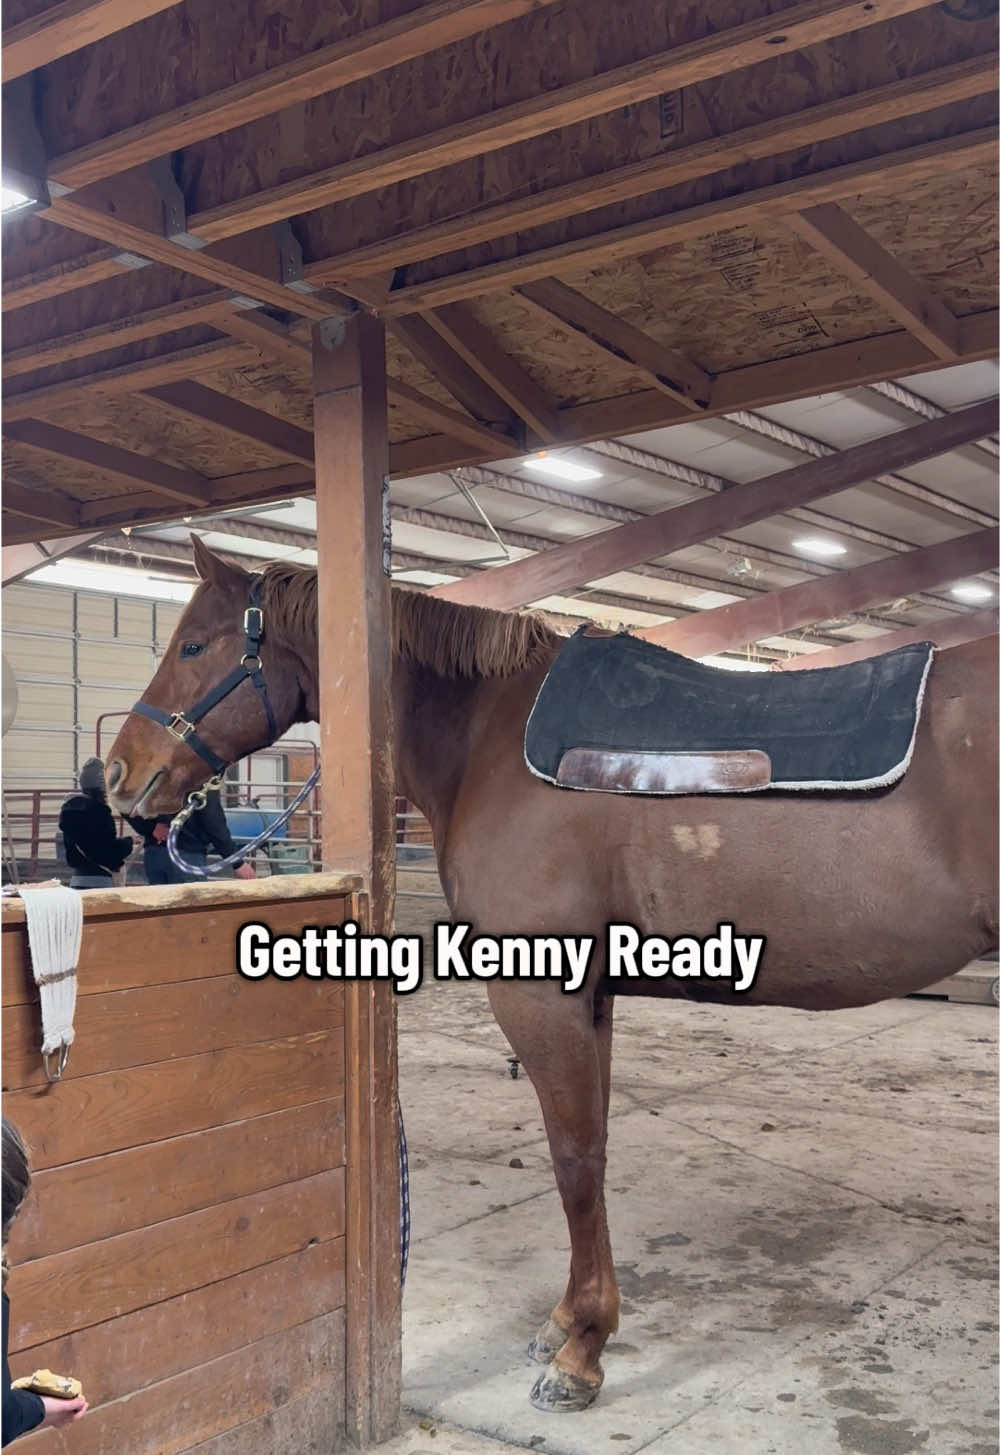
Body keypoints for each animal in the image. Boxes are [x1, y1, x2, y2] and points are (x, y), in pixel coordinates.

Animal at [105, 541, 995, 1414]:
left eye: (194, 645)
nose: (119, 772)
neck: (489, 736)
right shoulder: (589, 996)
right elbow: (588, 1147)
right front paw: (568, 1320)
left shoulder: (540, 995)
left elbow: (574, 1159)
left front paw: (582, 1351)